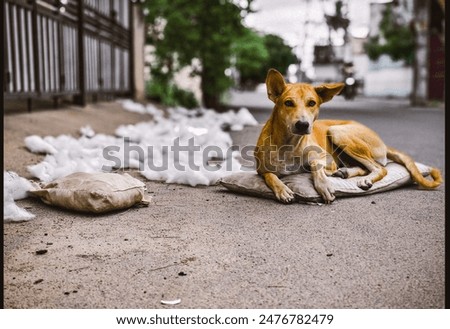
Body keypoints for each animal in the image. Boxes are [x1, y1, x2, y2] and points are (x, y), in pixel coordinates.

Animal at [255, 69, 442, 202]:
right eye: (288, 103)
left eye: (311, 103)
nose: (302, 125)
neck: (289, 144)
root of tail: (383, 142)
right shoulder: (261, 170)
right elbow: (270, 176)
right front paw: (282, 189)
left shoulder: (326, 158)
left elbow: (316, 166)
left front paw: (324, 184)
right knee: (365, 167)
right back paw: (346, 172)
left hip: (337, 131)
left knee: (379, 168)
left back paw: (359, 177)